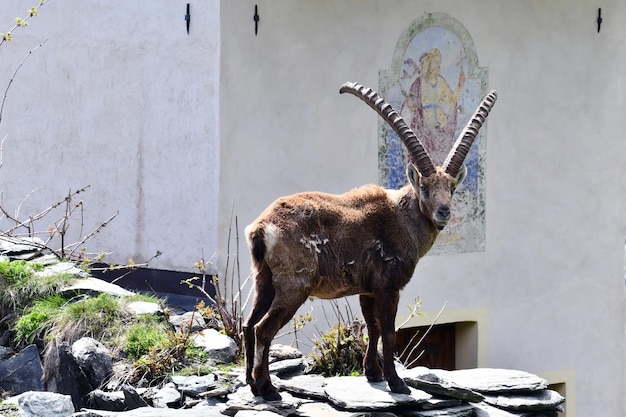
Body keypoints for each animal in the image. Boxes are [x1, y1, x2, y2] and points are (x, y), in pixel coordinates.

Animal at [241, 82, 494, 400]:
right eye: (424, 187)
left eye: (451, 187)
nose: (443, 211)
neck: (402, 217)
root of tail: (262, 228)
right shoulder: (388, 286)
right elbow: (388, 331)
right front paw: (397, 383)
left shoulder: (367, 289)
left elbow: (371, 328)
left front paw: (372, 373)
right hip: (294, 284)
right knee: (263, 329)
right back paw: (268, 388)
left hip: (263, 278)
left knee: (248, 324)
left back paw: (252, 384)